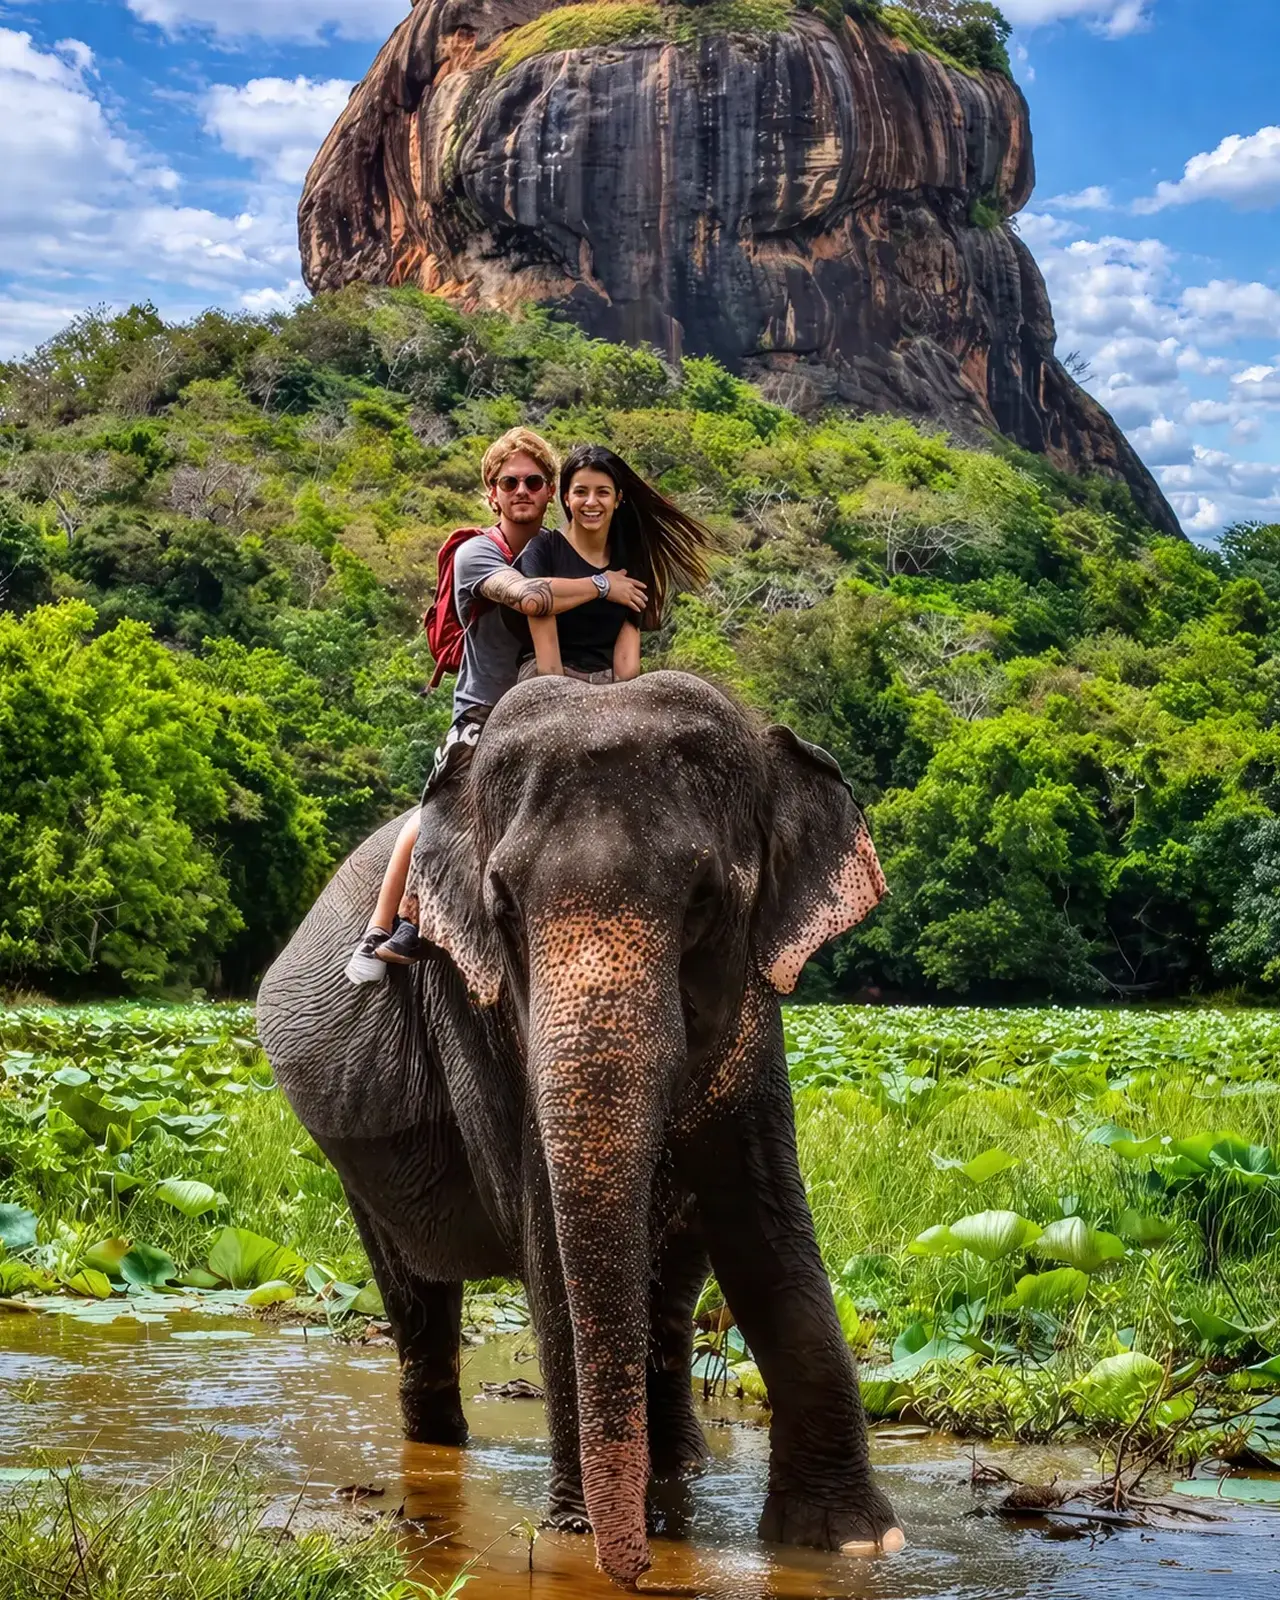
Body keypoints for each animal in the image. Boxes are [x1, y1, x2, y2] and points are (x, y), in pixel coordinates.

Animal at [257, 670, 904, 1585]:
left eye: (706, 900)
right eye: (501, 907)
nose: (631, 1571)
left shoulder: (755, 1007)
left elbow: (766, 1223)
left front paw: (853, 1544)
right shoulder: (474, 1009)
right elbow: (545, 1240)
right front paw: (574, 1535)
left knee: (670, 1287)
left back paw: (678, 1471)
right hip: (347, 1151)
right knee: (415, 1293)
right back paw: (444, 1451)